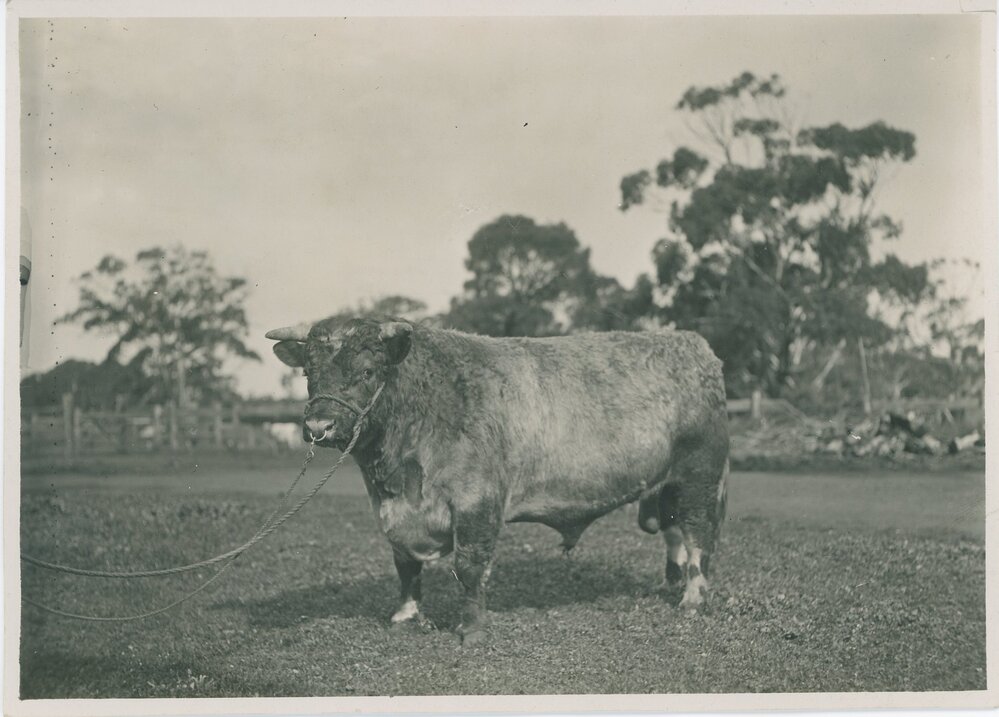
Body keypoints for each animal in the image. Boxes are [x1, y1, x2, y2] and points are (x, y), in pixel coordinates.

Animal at [266, 316, 729, 645]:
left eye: (366, 371)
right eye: (309, 373)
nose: (319, 425)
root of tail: (695, 346)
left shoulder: (477, 500)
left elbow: (469, 567)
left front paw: (471, 630)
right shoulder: (391, 510)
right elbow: (405, 565)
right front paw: (405, 616)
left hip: (699, 477)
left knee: (698, 535)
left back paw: (693, 598)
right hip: (666, 485)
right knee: (674, 532)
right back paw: (672, 582)